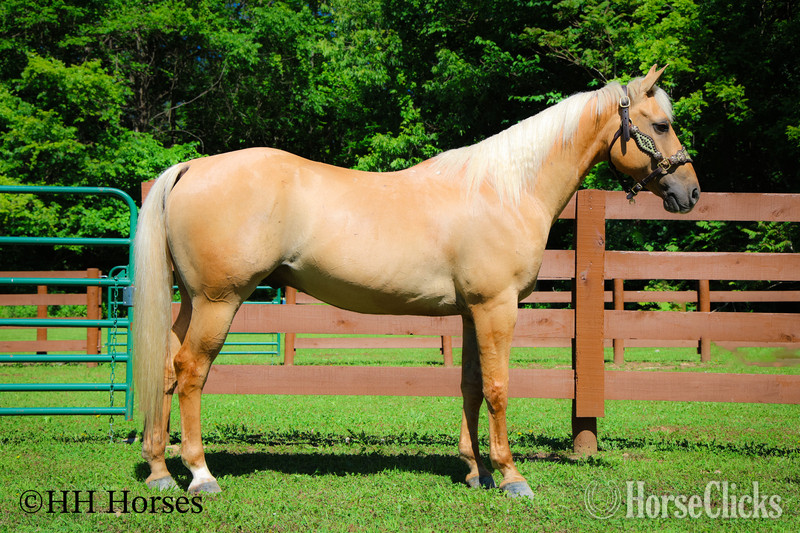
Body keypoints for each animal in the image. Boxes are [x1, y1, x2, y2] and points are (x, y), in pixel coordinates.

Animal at [133, 65, 699, 498]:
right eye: (661, 125)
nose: (690, 193)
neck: (505, 189)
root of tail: (191, 167)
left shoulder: (473, 312)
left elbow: (470, 385)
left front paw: (475, 471)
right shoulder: (497, 308)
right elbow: (497, 387)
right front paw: (511, 476)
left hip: (193, 302)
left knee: (165, 367)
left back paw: (161, 470)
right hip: (218, 302)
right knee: (191, 372)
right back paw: (200, 474)